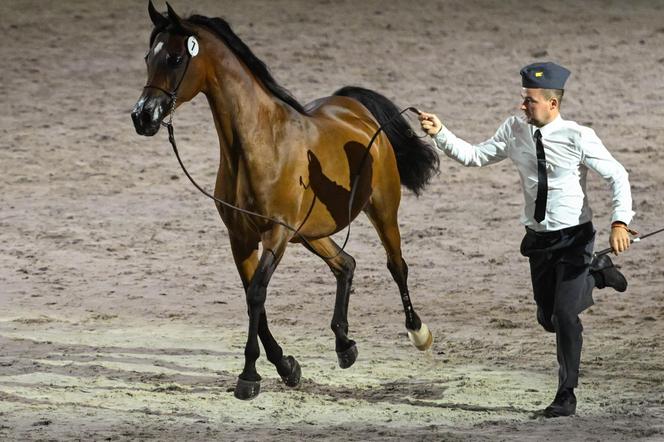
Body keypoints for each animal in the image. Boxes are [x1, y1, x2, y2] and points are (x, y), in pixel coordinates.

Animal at [130, 0, 440, 400]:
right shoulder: (241, 237)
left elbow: (257, 294)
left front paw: (249, 376)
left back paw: (418, 332)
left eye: (175, 58)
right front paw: (286, 367)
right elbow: (252, 298)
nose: (142, 116)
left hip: (382, 210)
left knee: (396, 265)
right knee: (346, 264)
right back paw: (344, 345)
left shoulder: (275, 234)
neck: (258, 144)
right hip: (310, 232)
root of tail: (355, 108)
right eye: (147, 57)